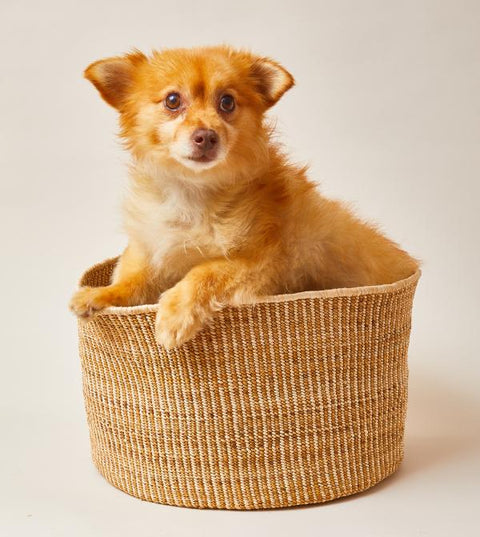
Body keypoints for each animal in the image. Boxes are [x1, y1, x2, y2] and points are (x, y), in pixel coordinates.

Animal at [69, 45, 418, 348]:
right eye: (172, 100)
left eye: (227, 102)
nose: (206, 136)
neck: (193, 193)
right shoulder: (152, 252)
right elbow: (131, 281)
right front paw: (99, 294)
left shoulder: (260, 260)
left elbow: (204, 271)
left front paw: (174, 314)